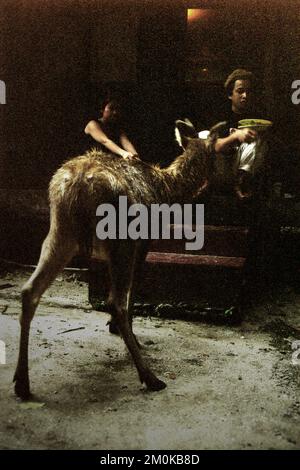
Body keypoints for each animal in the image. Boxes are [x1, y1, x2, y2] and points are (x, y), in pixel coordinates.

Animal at [14, 137, 210, 400]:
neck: (167, 189)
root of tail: (78, 184)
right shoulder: (143, 240)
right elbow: (132, 290)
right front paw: (126, 332)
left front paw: (113, 327)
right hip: (120, 239)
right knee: (115, 301)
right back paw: (150, 377)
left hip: (60, 232)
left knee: (29, 290)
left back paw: (22, 384)